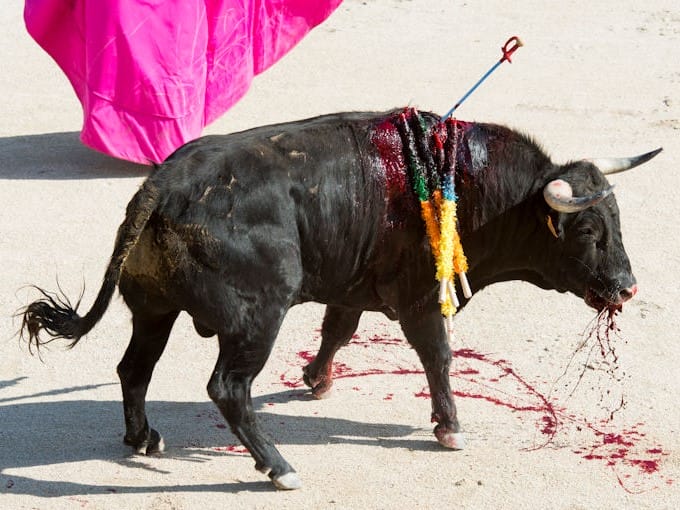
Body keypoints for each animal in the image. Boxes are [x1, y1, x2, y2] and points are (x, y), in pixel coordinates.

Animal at [19, 108, 660, 490]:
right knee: (227, 388)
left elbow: (338, 330)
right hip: (256, 319)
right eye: (588, 230)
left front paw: (316, 379)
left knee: (134, 368)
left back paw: (143, 438)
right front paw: (450, 427)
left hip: (154, 309)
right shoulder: (421, 299)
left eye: (617, 221)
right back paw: (279, 467)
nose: (627, 288)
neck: (468, 185)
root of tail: (163, 183)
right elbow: (439, 357)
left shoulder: (352, 286)